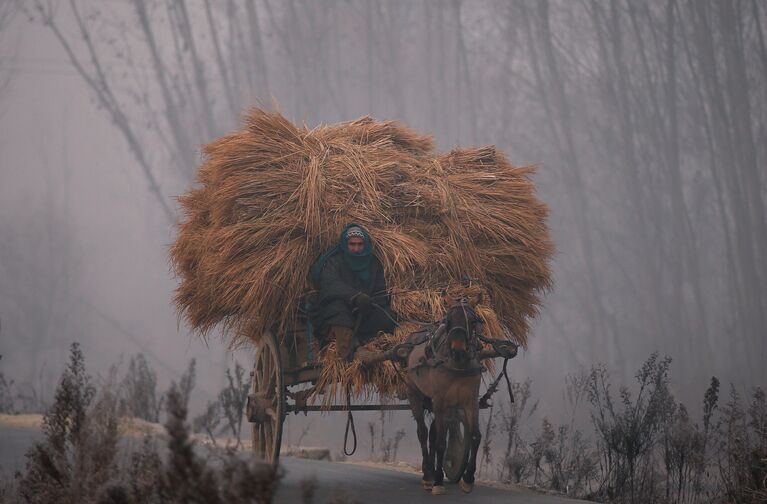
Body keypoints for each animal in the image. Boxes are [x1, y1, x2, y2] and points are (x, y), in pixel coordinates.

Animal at [402, 294, 486, 494]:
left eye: (473, 321)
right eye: (448, 320)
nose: (458, 348)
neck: (457, 364)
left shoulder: (470, 400)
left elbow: (475, 436)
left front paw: (468, 478)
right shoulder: (440, 400)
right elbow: (440, 441)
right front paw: (438, 481)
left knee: (433, 432)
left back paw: (431, 472)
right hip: (414, 392)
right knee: (423, 433)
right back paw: (428, 476)